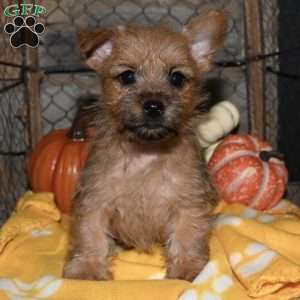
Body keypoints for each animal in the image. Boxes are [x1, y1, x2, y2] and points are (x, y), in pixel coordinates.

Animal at [63, 9, 227, 282]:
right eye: (127, 76)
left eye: (176, 78)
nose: (153, 105)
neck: (146, 154)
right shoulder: (96, 200)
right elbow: (91, 235)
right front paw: (87, 269)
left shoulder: (188, 202)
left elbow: (187, 235)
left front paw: (187, 268)